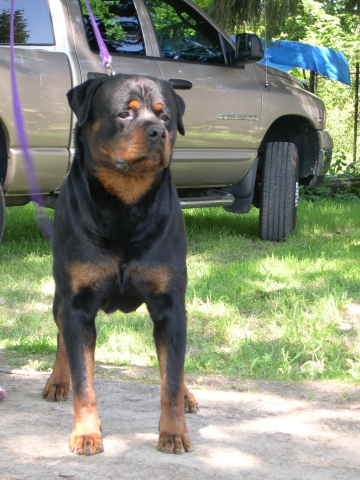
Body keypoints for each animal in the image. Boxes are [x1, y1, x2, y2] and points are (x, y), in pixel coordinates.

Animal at [44, 73, 200, 456]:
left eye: (166, 116)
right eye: (124, 114)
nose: (157, 132)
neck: (125, 207)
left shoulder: (171, 307)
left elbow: (171, 377)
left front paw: (174, 432)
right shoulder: (77, 305)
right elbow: (84, 381)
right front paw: (86, 433)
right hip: (59, 299)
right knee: (62, 339)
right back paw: (58, 380)